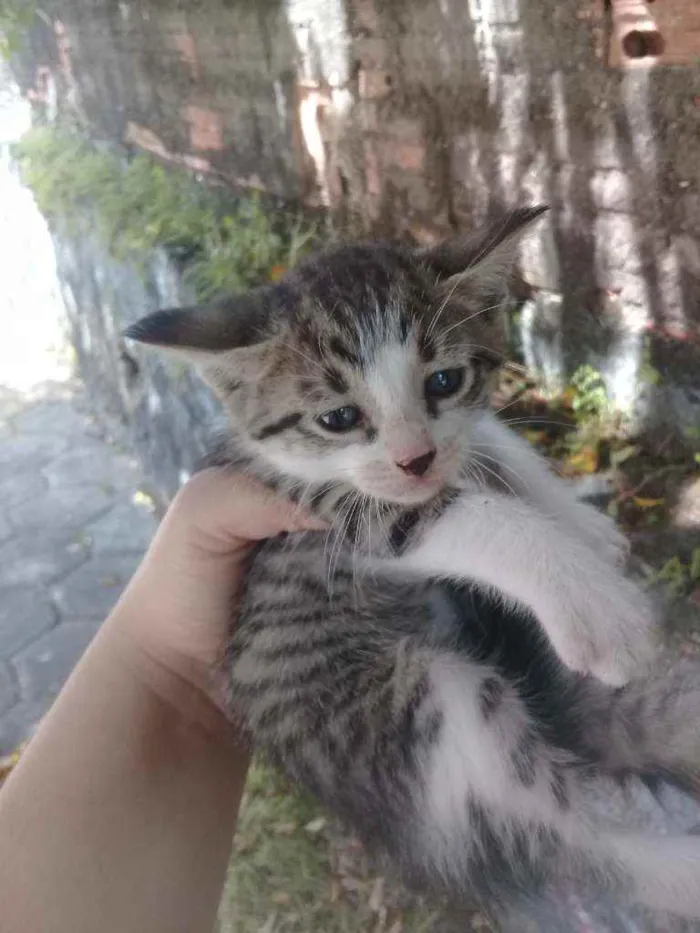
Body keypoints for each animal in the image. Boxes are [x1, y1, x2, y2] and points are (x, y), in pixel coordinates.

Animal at [127, 206, 700, 916]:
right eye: (338, 417)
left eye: (444, 382)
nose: (415, 459)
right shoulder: (322, 516)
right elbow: (461, 515)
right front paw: (601, 607)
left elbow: (491, 441)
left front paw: (578, 521)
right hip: (431, 706)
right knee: (567, 832)